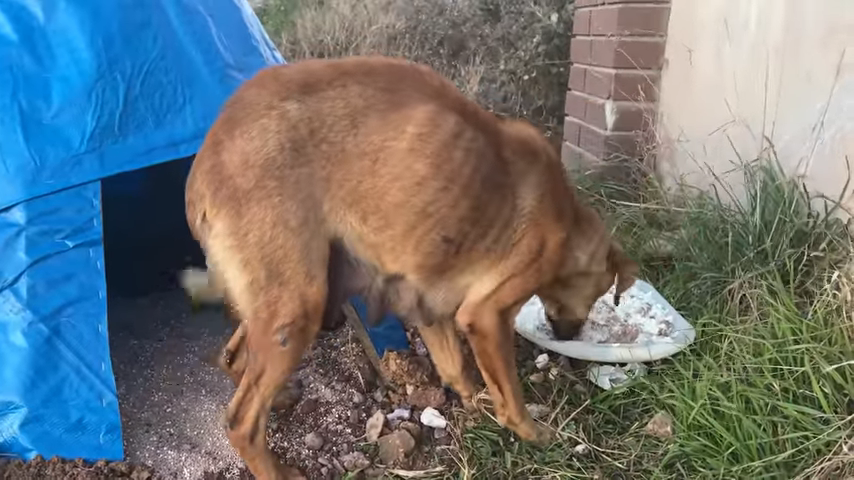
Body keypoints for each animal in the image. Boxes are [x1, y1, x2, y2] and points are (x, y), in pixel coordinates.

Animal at [186, 55, 636, 476]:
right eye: (600, 297)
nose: (569, 336)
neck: (568, 218)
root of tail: (201, 173)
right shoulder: (486, 314)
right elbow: (509, 395)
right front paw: (534, 433)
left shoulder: (427, 303)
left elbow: (456, 369)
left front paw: (475, 406)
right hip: (297, 305)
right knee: (240, 421)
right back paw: (279, 469)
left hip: (276, 300)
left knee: (233, 359)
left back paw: (279, 398)